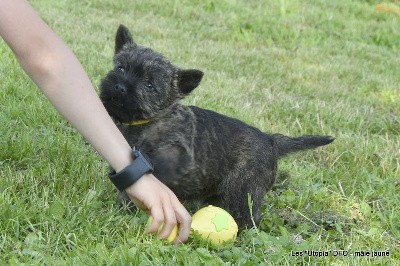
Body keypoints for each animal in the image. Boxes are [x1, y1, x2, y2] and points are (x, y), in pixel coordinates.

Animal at [101, 25, 334, 228]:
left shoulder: (176, 157)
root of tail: (271, 140)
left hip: (243, 189)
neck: (150, 121)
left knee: (249, 218)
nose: (120, 86)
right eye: (121, 67)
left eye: (149, 85)